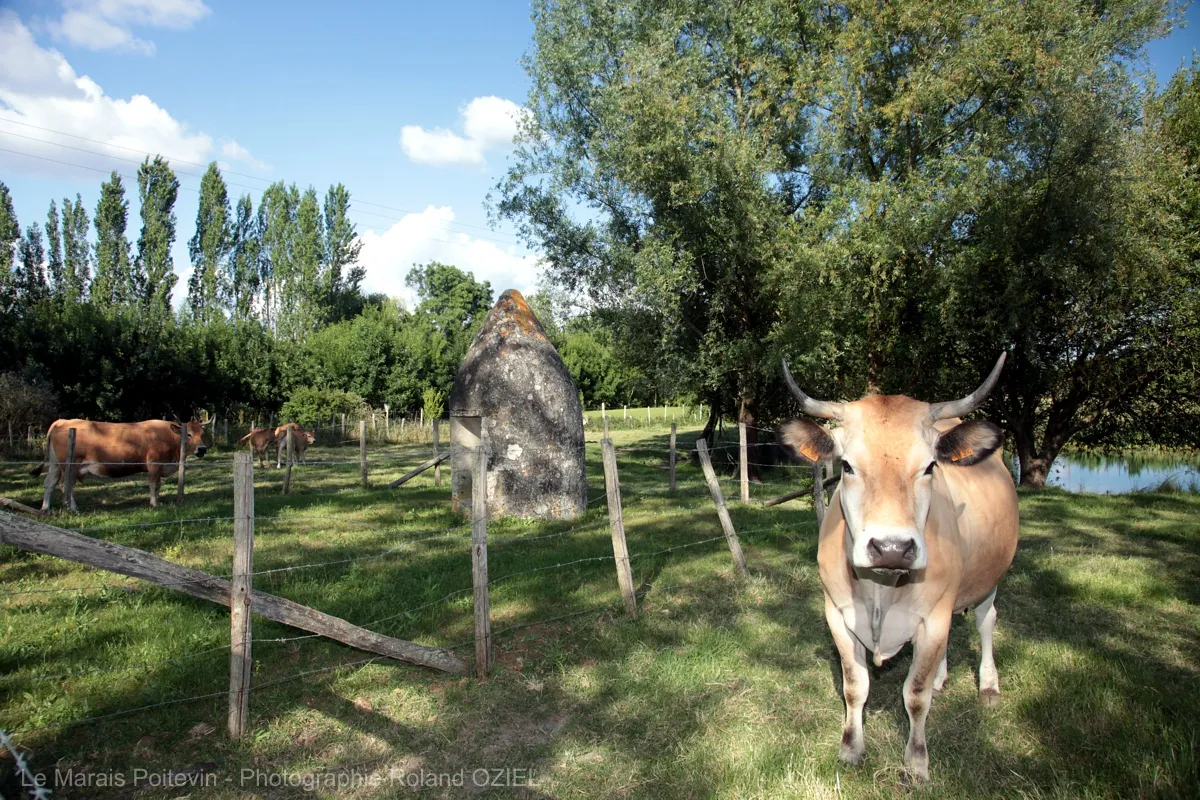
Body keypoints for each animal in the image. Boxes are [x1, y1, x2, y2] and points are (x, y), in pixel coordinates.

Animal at [33, 419, 209, 512]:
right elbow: (154, 484)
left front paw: (158, 500)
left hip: (55, 465)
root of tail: (62, 421)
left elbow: (158, 485)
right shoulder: (154, 464)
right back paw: (73, 508)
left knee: (49, 483)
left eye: (203, 434)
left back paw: (45, 508)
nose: (202, 449)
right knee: (65, 485)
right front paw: (154, 503)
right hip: (70, 466)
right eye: (189, 434)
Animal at [776, 354, 1018, 782]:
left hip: (989, 578)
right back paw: (942, 677)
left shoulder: (933, 617)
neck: (882, 589)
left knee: (986, 621)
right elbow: (855, 686)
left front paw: (917, 762)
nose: (892, 548)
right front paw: (851, 748)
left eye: (930, 467)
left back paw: (989, 684)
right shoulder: (836, 614)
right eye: (847, 466)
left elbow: (915, 695)